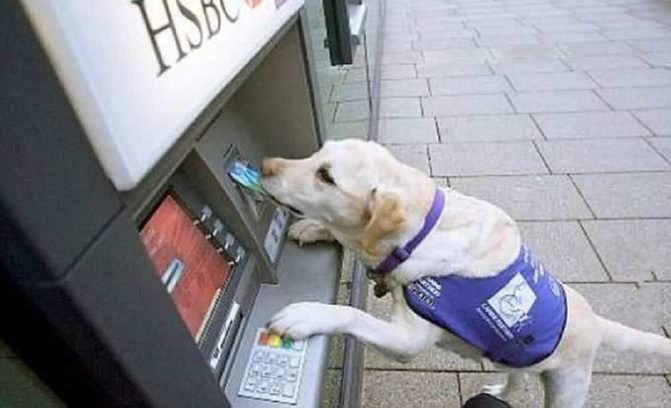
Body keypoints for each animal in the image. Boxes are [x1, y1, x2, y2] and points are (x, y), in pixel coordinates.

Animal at [260, 139, 668, 406]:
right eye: (318, 153)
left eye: (326, 176)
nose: (265, 165)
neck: (421, 231)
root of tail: (596, 321)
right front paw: (314, 227)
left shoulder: (407, 340)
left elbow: (351, 314)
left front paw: (308, 314)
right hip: (513, 356)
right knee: (516, 377)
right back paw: (500, 391)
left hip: (568, 385)